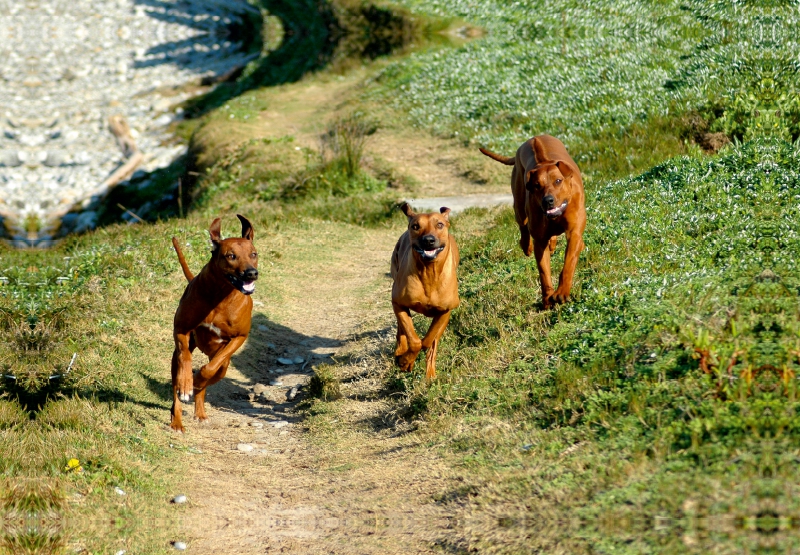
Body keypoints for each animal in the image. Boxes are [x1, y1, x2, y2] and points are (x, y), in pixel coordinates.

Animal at [170, 215, 260, 432]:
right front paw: (187, 384)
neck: (220, 295)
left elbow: (209, 368)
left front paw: (197, 380)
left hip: (224, 368)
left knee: (211, 375)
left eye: (253, 254)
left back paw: (200, 411)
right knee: (176, 384)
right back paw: (177, 419)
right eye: (231, 256)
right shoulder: (181, 329)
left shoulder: (239, 338)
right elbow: (186, 358)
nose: (252, 273)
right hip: (175, 360)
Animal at [390, 204, 460, 382]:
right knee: (401, 328)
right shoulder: (398, 302)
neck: (429, 273)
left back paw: (430, 374)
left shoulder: (445, 311)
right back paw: (400, 349)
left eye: (440, 224)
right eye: (416, 226)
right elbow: (414, 340)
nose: (428, 240)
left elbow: (429, 341)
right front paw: (405, 361)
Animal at [482, 135, 588, 308]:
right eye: (537, 185)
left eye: (558, 181)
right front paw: (547, 299)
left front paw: (561, 292)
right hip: (519, 202)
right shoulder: (539, 241)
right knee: (522, 224)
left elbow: (568, 263)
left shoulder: (574, 234)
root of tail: (533, 138)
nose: (548, 201)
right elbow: (544, 272)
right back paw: (526, 245)